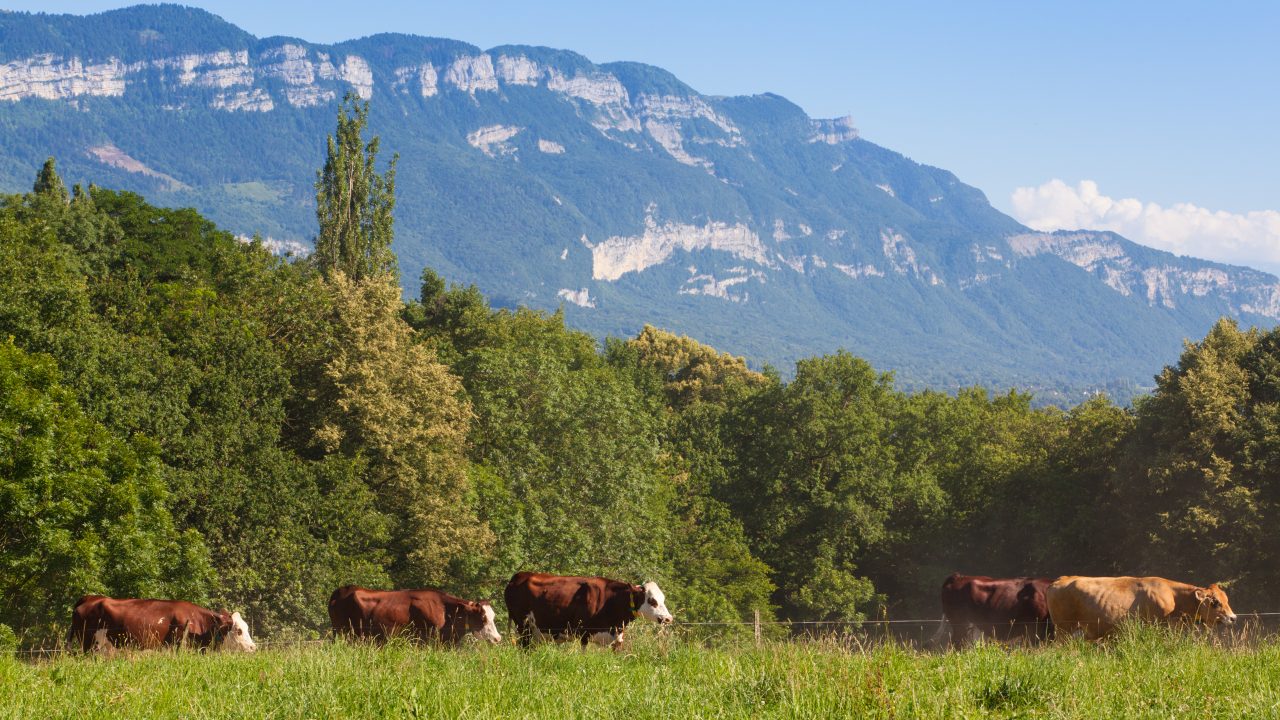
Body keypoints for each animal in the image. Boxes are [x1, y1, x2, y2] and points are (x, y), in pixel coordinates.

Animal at [504, 572, 673, 649]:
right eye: (652, 601)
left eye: (663, 598)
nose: (668, 618)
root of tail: (518, 576)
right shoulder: (584, 634)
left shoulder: (617, 640)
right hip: (524, 627)